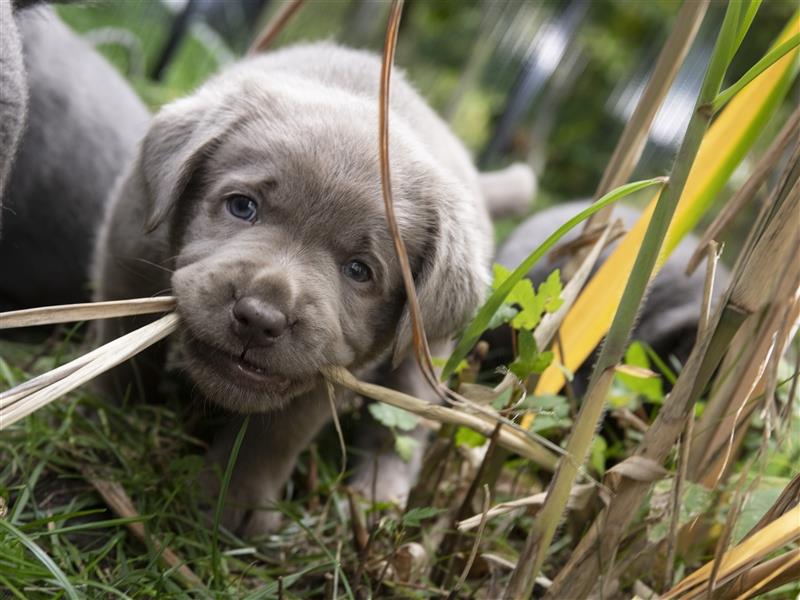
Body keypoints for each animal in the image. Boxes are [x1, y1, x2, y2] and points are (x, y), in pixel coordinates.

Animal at [94, 43, 532, 540]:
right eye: (242, 206)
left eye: (359, 270)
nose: (259, 319)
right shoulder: (128, 248)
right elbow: (120, 344)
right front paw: (103, 413)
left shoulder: (331, 371)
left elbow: (273, 435)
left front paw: (235, 502)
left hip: (426, 353)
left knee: (402, 428)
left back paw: (380, 497)